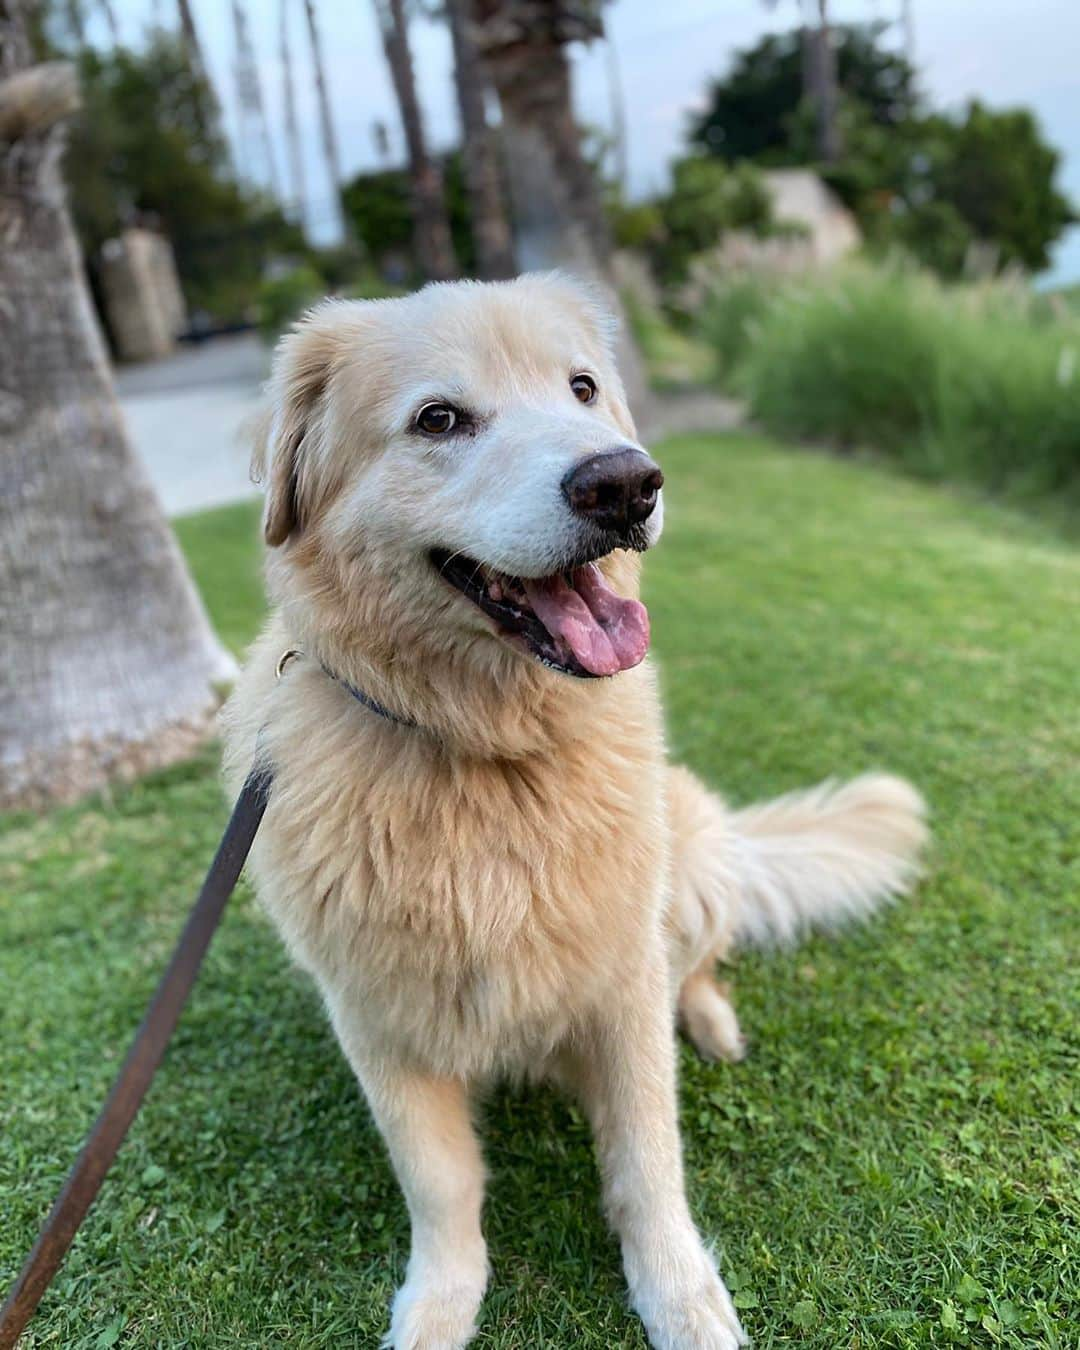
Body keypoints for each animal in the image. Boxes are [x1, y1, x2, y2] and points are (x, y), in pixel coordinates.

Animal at [221, 274, 928, 1350]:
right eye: (439, 419)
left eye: (583, 388)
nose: (626, 484)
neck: (488, 756)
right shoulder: (377, 1022)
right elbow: (440, 1187)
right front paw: (440, 1304)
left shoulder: (622, 983)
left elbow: (647, 1163)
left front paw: (680, 1298)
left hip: (688, 857)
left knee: (702, 959)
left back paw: (712, 1020)